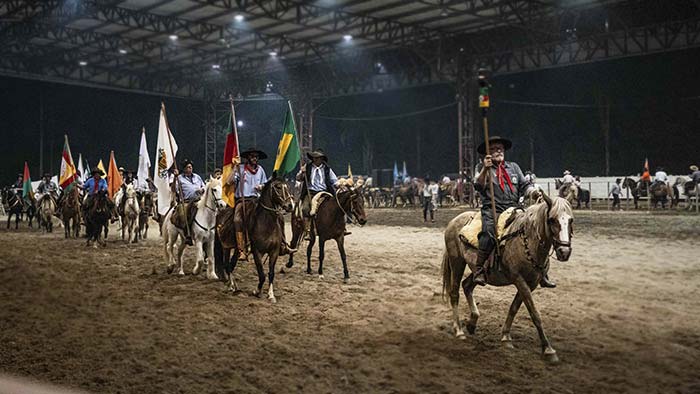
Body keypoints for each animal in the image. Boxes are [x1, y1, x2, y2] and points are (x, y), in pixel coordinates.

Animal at [442, 194, 576, 364]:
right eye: (552, 219)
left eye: (570, 220)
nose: (564, 252)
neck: (527, 240)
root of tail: (454, 221)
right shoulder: (519, 280)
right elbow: (535, 314)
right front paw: (548, 349)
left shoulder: (530, 284)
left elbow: (514, 308)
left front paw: (506, 338)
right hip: (457, 262)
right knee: (454, 293)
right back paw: (459, 330)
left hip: (479, 271)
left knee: (467, 285)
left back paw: (472, 323)